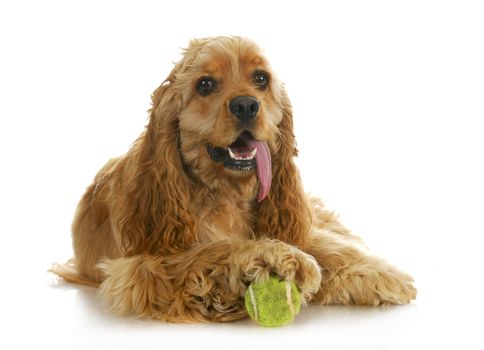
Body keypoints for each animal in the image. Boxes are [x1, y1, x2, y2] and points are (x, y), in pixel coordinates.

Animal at [52, 36, 416, 322]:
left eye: (261, 78)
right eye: (205, 84)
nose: (245, 105)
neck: (226, 193)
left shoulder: (294, 221)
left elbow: (324, 244)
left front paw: (375, 272)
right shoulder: (141, 269)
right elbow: (215, 250)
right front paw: (277, 257)